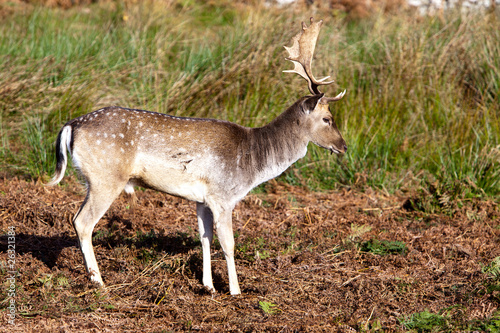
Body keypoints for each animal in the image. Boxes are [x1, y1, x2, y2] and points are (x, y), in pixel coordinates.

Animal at [47, 17, 348, 294]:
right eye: (327, 118)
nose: (344, 146)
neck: (253, 160)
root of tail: (71, 126)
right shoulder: (222, 195)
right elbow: (228, 243)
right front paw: (235, 290)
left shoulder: (202, 199)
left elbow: (205, 238)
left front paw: (209, 286)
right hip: (106, 177)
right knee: (82, 221)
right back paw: (98, 281)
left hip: (94, 179)